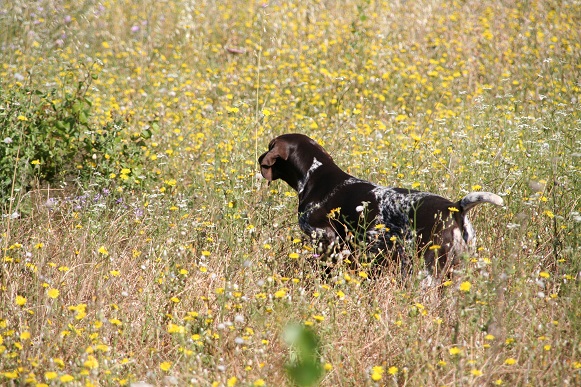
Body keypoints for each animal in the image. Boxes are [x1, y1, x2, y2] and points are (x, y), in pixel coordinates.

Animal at [258, 134, 502, 278]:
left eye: (269, 146)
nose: (259, 158)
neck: (315, 175)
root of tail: (455, 208)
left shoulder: (326, 240)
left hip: (428, 269)